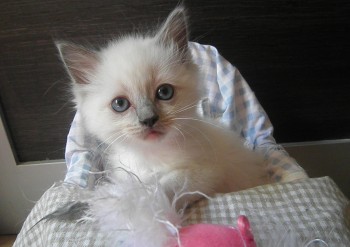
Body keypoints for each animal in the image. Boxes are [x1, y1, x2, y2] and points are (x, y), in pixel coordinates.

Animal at [58, 6, 270, 206]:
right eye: (120, 104)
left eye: (164, 92)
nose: (148, 119)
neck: (150, 156)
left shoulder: (207, 172)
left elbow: (166, 185)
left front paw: (144, 201)